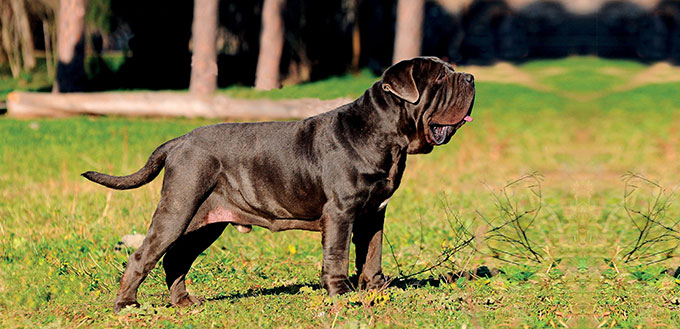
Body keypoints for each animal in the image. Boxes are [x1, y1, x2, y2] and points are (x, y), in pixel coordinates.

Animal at [82, 55, 476, 310]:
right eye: (440, 80)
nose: (470, 77)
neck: (385, 134)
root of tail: (179, 141)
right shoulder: (341, 213)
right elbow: (337, 255)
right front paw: (341, 295)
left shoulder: (374, 213)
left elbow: (372, 254)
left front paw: (377, 289)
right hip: (177, 210)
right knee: (142, 255)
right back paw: (127, 305)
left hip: (203, 223)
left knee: (176, 259)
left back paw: (184, 302)